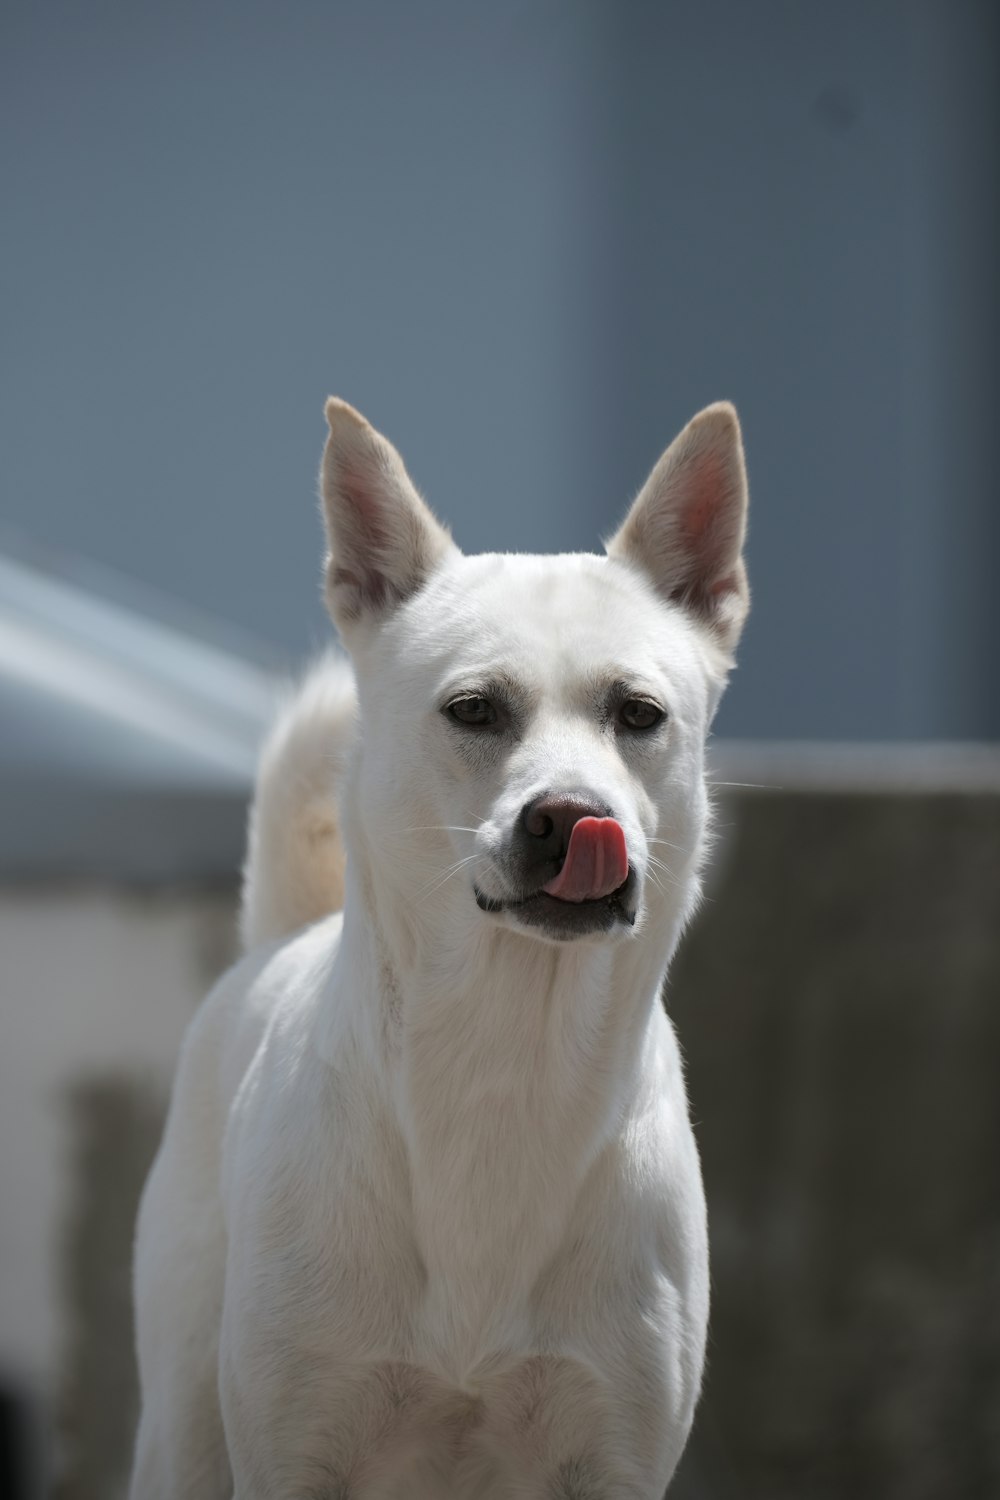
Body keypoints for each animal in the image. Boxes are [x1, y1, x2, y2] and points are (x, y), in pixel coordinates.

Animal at [128, 399, 746, 1500]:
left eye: (638, 714)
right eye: (473, 710)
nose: (572, 817)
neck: (505, 1056)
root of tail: (280, 938)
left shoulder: (612, 1452)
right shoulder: (293, 1451)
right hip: (184, 1433)